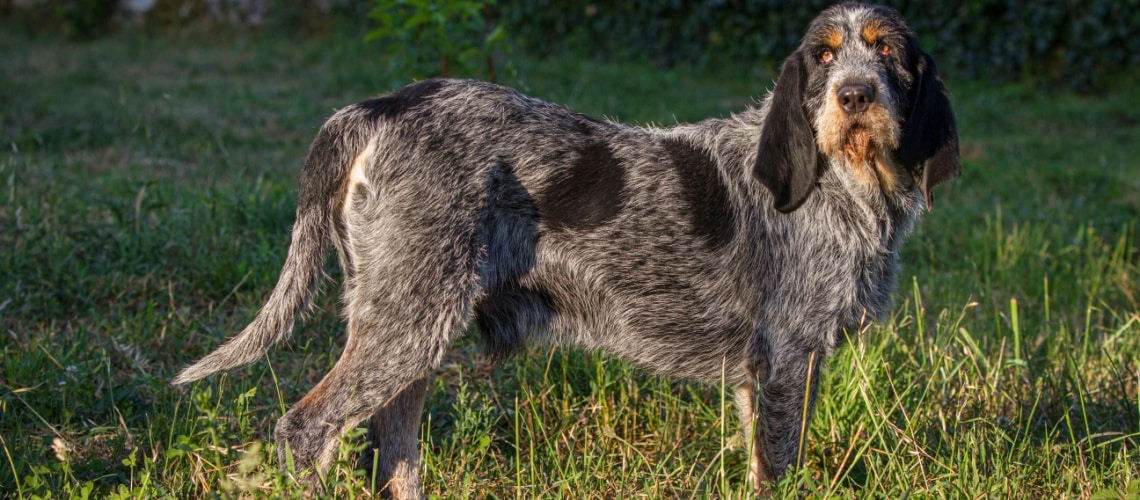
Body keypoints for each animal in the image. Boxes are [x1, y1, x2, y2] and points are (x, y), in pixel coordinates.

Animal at [173, 2, 957, 496]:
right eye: (824, 57)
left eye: (886, 51)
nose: (855, 95)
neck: (844, 180)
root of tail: (378, 107)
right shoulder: (787, 361)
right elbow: (780, 470)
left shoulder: (767, 373)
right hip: (407, 325)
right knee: (308, 430)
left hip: (409, 328)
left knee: (392, 454)